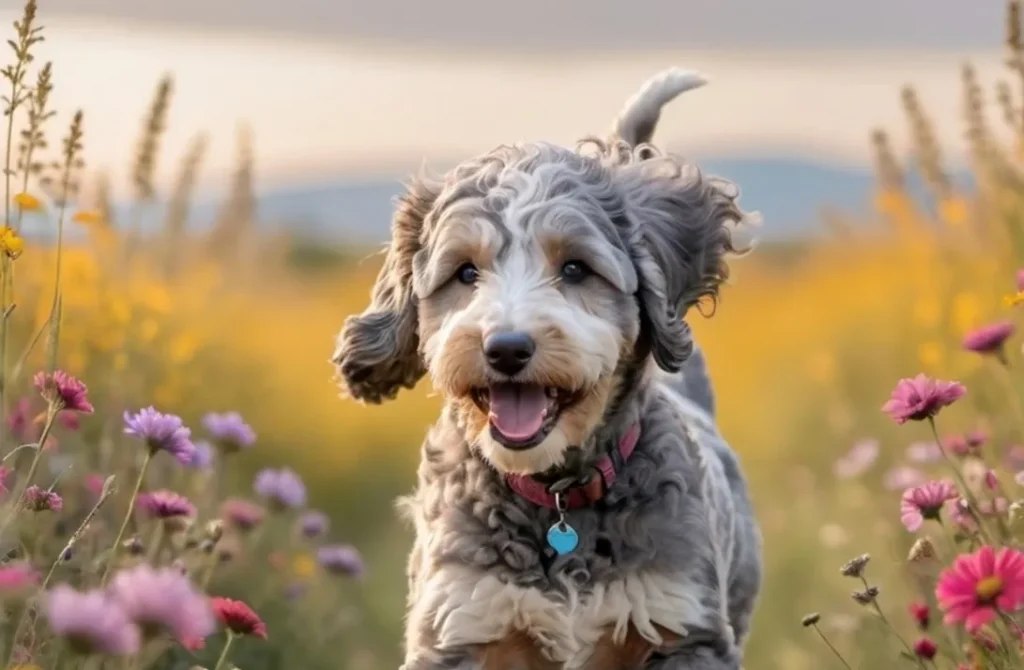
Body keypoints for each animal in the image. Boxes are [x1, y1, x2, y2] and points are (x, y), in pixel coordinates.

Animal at [333, 68, 761, 670]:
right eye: (465, 272)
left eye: (576, 269)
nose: (507, 348)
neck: (557, 499)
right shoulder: (459, 622)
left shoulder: (685, 630)